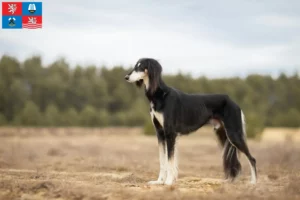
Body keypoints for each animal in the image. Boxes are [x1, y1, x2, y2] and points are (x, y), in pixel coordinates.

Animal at [124, 57, 258, 186]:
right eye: (135, 66)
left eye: (141, 67)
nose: (126, 77)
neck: (160, 95)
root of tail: (233, 102)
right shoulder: (160, 133)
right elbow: (163, 160)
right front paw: (159, 181)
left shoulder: (170, 133)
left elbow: (170, 160)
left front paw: (168, 182)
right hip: (223, 134)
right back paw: (230, 180)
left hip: (233, 134)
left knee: (252, 159)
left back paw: (254, 182)